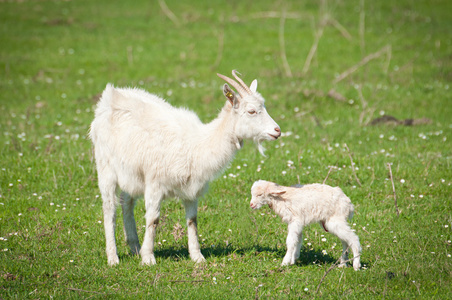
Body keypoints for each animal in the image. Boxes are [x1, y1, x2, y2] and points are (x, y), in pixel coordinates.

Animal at [89, 71, 280, 264]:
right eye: (251, 111)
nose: (277, 130)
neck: (196, 144)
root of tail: (110, 95)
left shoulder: (192, 188)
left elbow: (192, 220)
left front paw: (197, 256)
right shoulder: (155, 183)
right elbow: (153, 220)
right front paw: (148, 258)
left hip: (132, 172)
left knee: (126, 202)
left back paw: (135, 247)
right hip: (105, 166)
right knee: (109, 208)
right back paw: (113, 257)